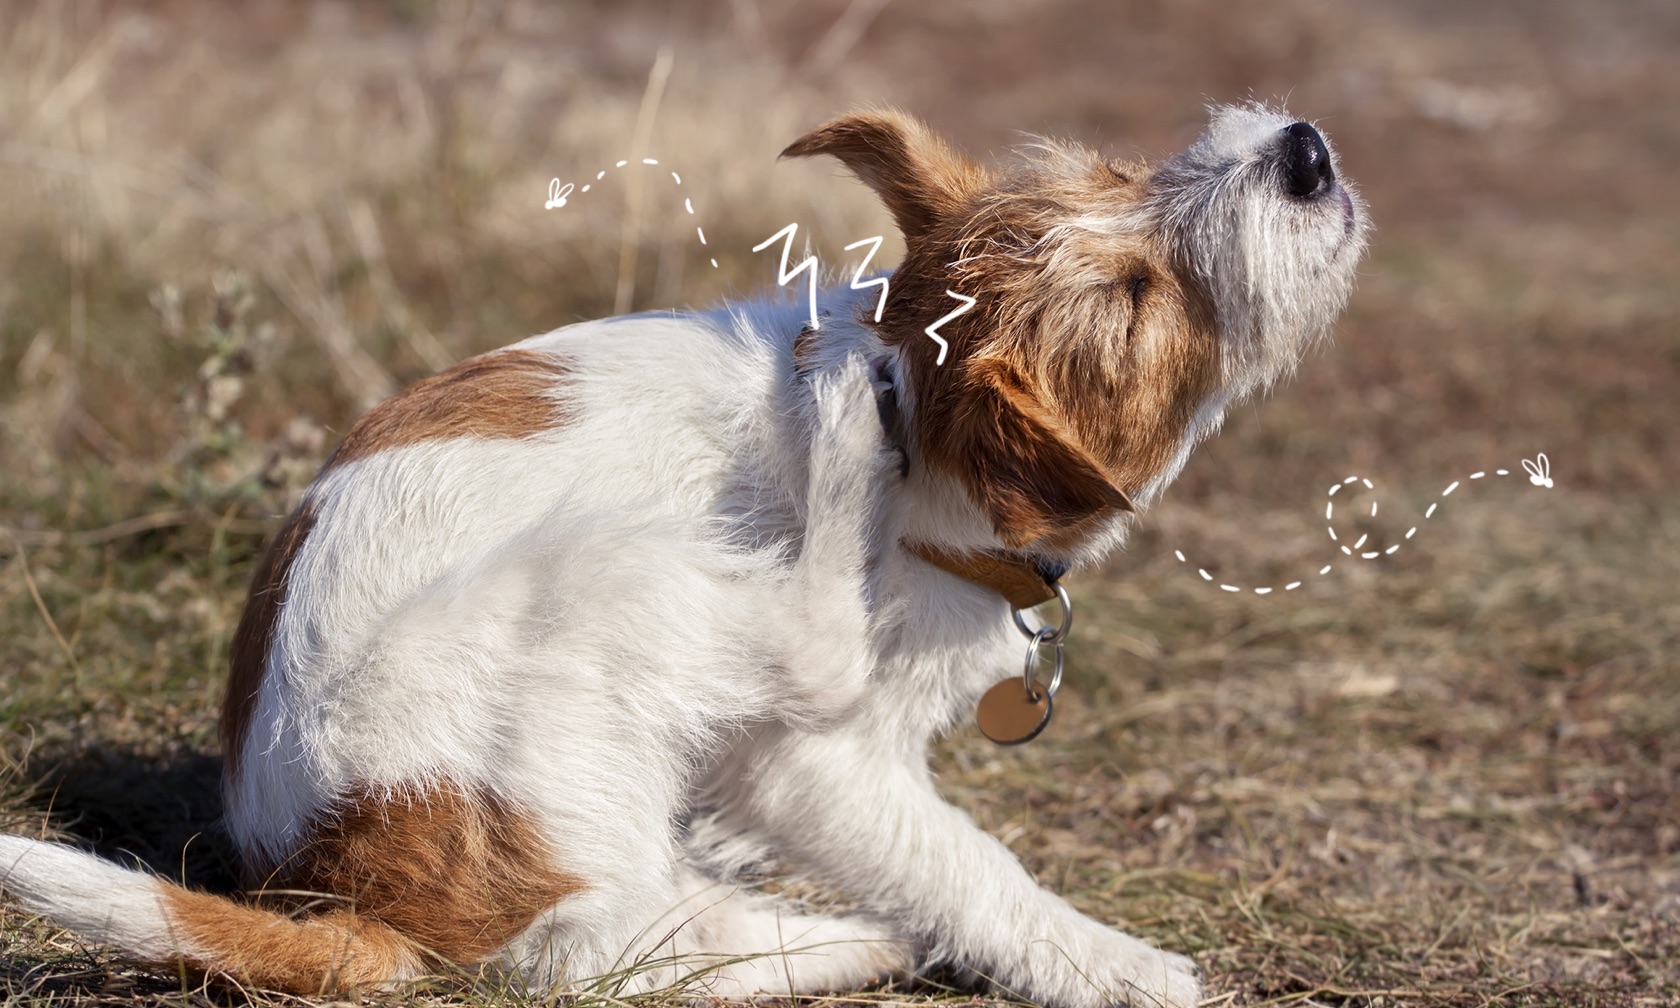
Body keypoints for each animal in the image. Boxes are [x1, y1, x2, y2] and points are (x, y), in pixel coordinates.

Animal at [0, 104, 1364, 1007]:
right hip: (608, 572)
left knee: (636, 936)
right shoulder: (818, 765)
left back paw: (824, 933)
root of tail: (344, 892)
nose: (1303, 148)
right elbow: (961, 860)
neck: (924, 428)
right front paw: (1107, 960)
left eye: (1121, 171)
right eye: (1136, 297)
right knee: (593, 946)